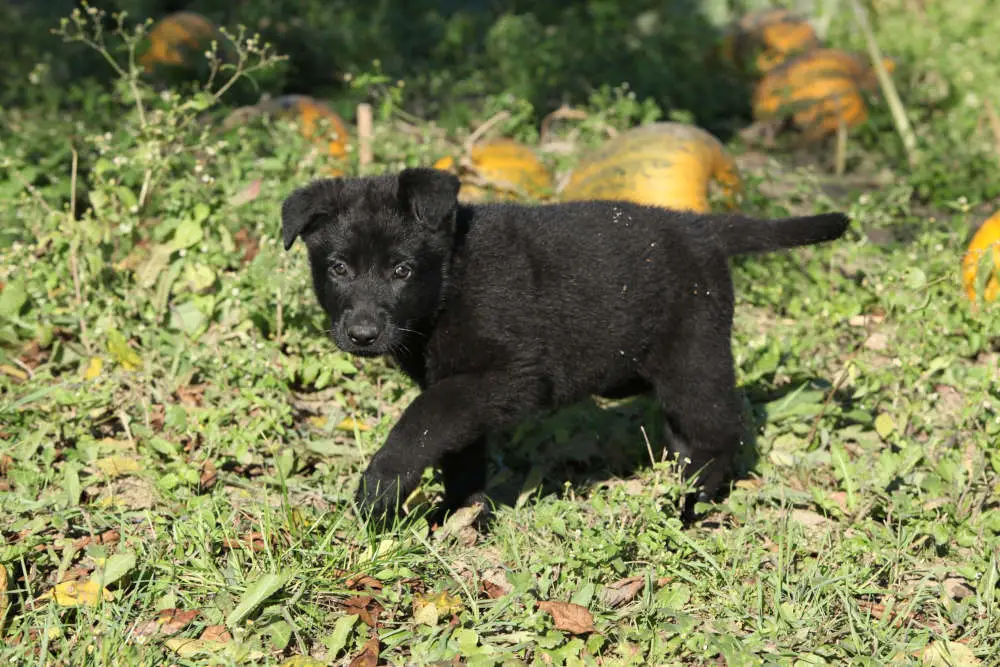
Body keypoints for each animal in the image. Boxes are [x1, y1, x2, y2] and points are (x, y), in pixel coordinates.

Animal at [282, 170, 852, 528]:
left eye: (401, 269)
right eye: (338, 268)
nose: (362, 334)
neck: (449, 281)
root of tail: (703, 225)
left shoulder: (509, 375)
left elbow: (421, 421)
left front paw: (380, 487)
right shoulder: (462, 384)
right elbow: (455, 445)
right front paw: (459, 513)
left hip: (693, 355)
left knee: (720, 431)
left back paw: (693, 503)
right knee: (687, 435)